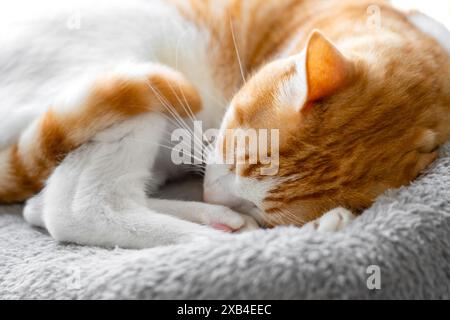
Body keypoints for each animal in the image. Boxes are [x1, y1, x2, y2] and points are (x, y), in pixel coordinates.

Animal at [0, 0, 448, 249]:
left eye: (259, 206)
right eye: (232, 151)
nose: (211, 193)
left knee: (41, 206)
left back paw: (216, 220)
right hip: (137, 69)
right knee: (75, 207)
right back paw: (217, 236)